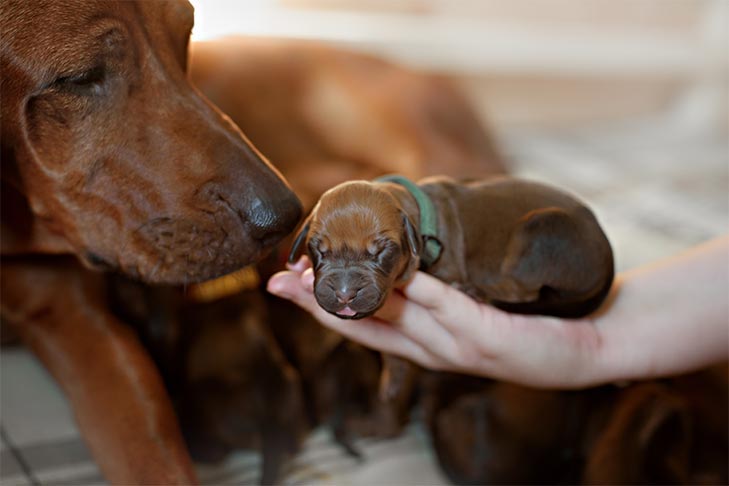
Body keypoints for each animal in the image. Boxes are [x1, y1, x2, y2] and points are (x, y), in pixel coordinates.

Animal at [290, 175, 616, 318]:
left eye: (382, 251)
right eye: (318, 249)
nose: (344, 294)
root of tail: (608, 252)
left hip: (542, 229)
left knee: (523, 289)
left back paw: (476, 290)